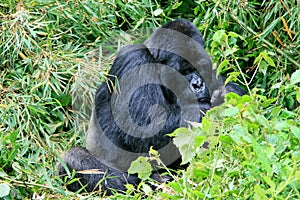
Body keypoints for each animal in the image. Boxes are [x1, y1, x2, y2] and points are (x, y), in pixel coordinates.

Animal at [57, 18, 245, 194]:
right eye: (183, 71)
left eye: (201, 67)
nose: (198, 84)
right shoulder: (135, 59)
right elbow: (144, 132)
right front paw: (209, 108)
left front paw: (224, 97)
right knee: (73, 161)